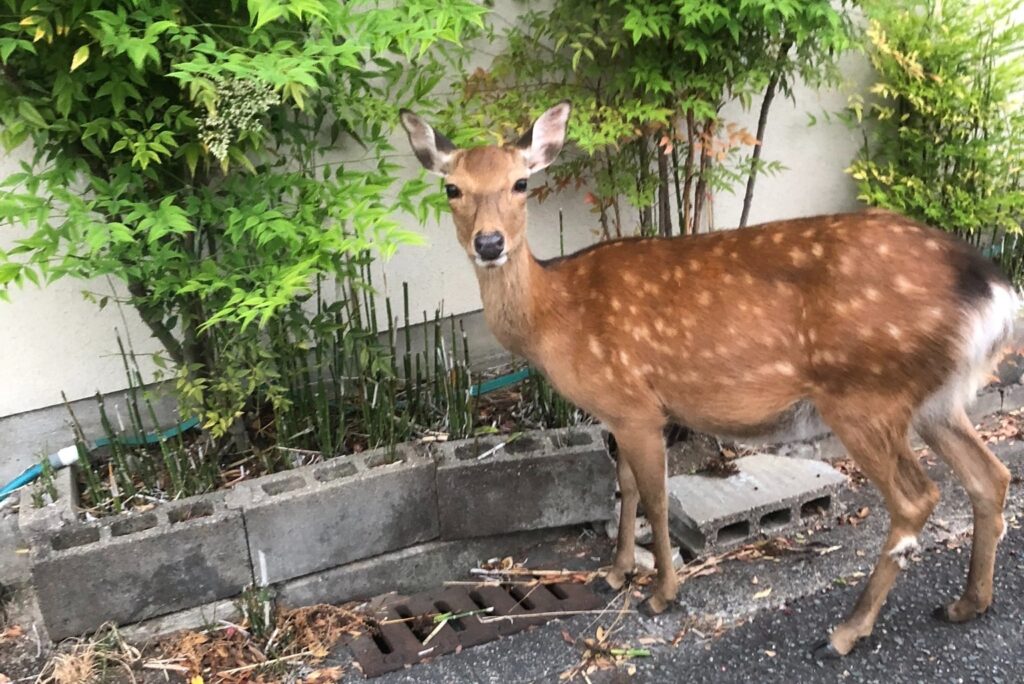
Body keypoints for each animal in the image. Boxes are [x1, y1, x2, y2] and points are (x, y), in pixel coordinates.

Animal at [399, 101, 1018, 657]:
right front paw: (614, 574)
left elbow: (654, 498)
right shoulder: (616, 411)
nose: (489, 243)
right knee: (990, 475)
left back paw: (844, 633)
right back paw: (967, 603)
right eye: (452, 188)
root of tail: (995, 291)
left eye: (521, 182)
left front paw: (660, 595)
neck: (556, 315)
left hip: (864, 392)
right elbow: (625, 489)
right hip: (935, 397)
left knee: (918, 498)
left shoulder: (638, 406)